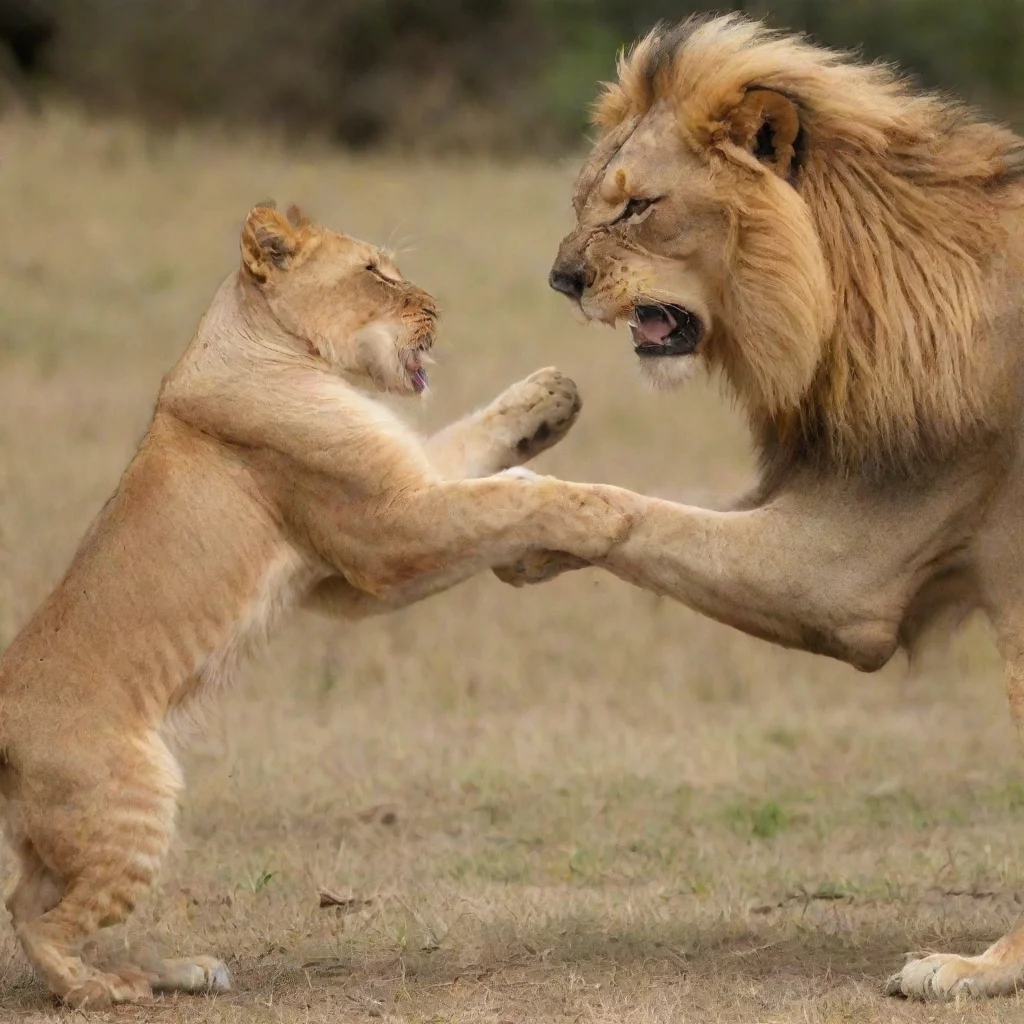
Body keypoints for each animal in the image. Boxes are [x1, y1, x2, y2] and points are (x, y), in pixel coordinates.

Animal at [0, 201, 638, 1007]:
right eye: (375, 272)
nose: (438, 308)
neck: (289, 351)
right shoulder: (382, 532)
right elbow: (504, 500)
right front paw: (598, 508)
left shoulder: (353, 564)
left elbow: (469, 452)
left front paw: (549, 397)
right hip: (132, 802)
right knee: (39, 919)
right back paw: (107, 989)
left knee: (35, 900)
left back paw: (175, 971)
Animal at [516, 8, 1024, 999]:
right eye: (588, 198)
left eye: (638, 206)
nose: (561, 281)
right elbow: (658, 509)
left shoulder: (853, 573)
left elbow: (632, 506)